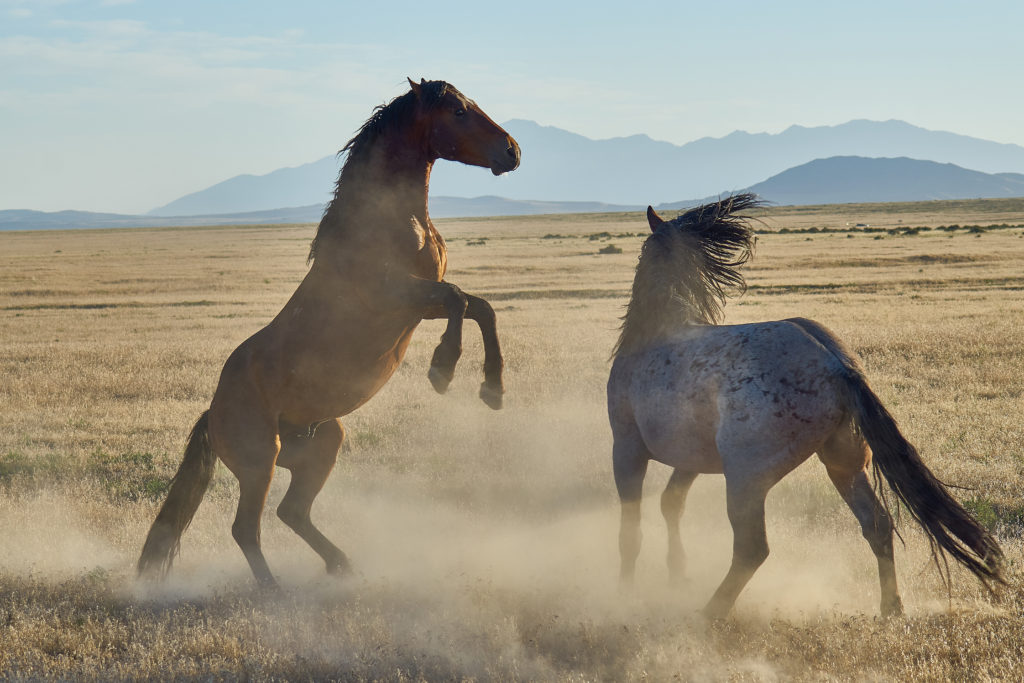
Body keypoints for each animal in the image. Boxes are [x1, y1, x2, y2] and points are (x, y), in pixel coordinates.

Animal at [138, 77, 520, 585]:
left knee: (292, 513)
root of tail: (212, 414)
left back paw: (341, 564)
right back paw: (274, 589)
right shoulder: (396, 296)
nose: (512, 150)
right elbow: (461, 300)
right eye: (458, 111)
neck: (394, 220)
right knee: (247, 528)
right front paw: (443, 369)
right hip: (260, 461)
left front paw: (492, 388)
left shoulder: (421, 304)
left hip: (322, 445)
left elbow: (481, 308)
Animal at [602, 193, 1003, 618]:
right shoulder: (690, 457)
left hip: (745, 476)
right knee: (877, 525)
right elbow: (671, 504)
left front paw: (624, 590)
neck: (657, 331)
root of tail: (838, 366)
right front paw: (677, 574)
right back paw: (890, 607)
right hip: (845, 464)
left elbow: (631, 529)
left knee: (752, 548)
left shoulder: (627, 448)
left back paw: (711, 611)